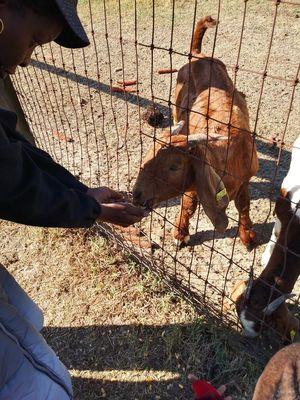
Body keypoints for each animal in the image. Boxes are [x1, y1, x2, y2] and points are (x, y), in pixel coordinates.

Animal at [133, 16, 258, 247]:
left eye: (174, 166)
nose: (136, 195)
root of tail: (198, 55)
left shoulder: (245, 179)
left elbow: (244, 205)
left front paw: (248, 236)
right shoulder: (193, 184)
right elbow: (189, 205)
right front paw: (181, 233)